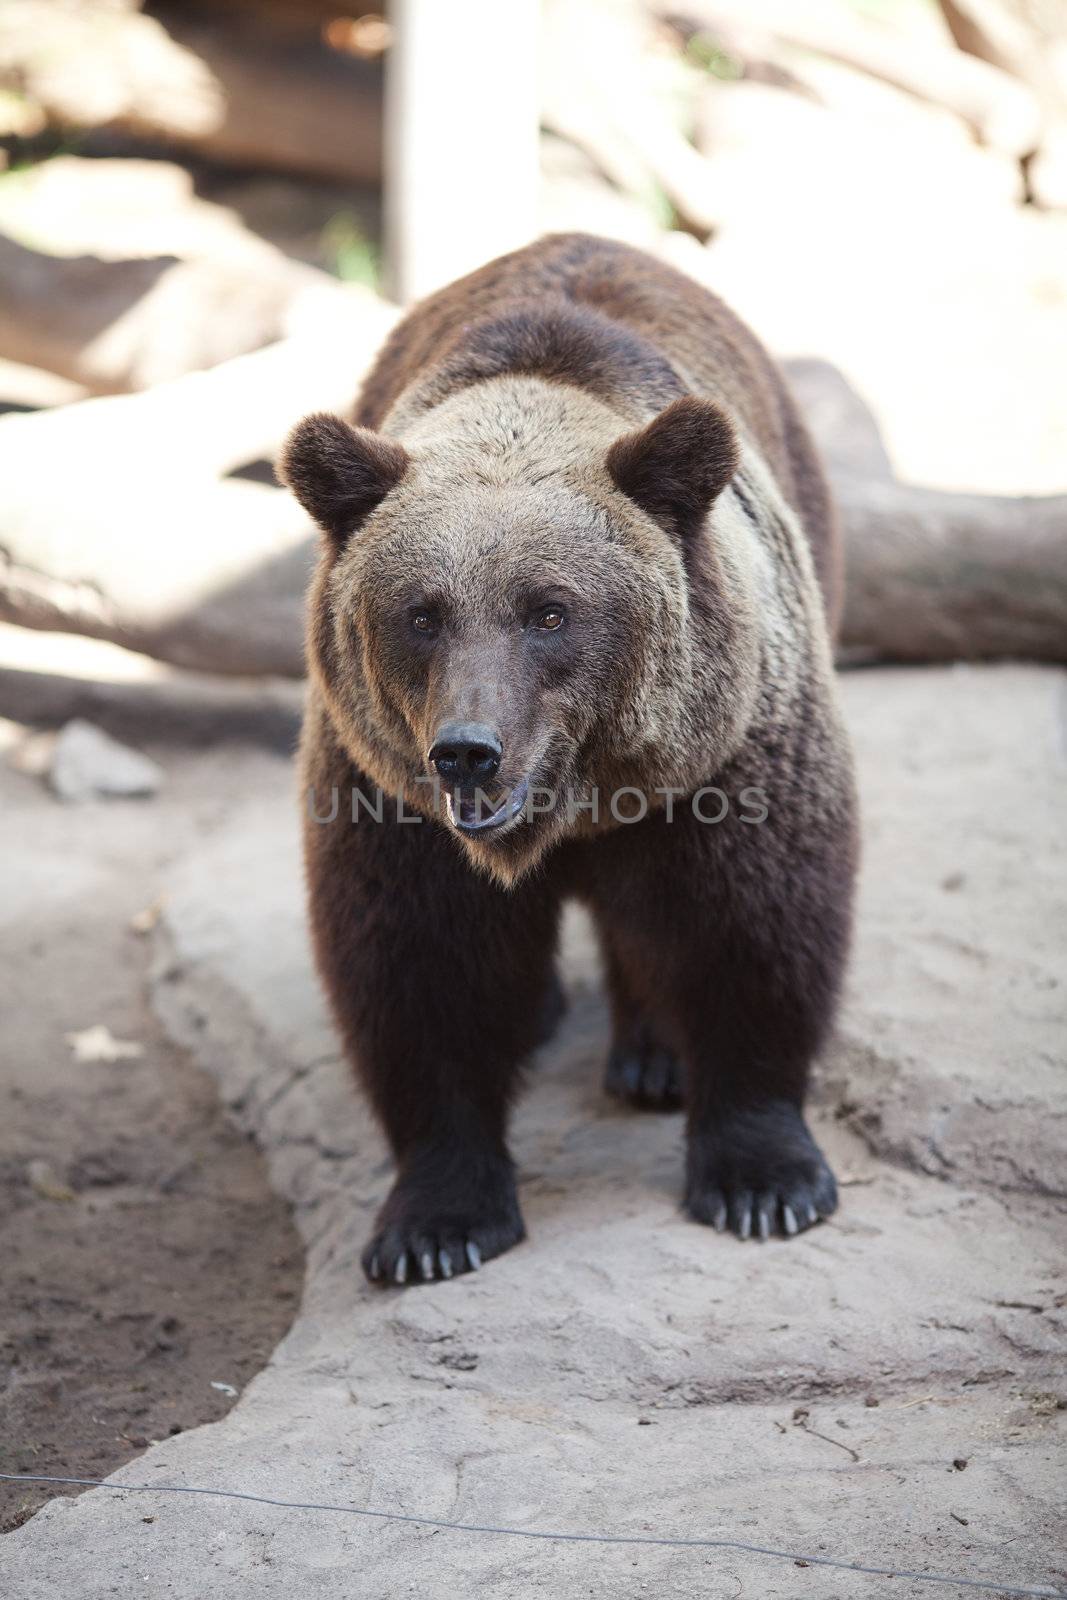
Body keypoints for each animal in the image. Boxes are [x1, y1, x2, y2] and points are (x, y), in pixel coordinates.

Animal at [281, 232, 857, 1286]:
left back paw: (651, 1056)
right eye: (421, 612)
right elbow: (419, 969)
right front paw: (435, 1223)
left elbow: (754, 924)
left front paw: (763, 1180)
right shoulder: (387, 796)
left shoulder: (723, 757)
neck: (580, 799)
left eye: (549, 610)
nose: (467, 753)